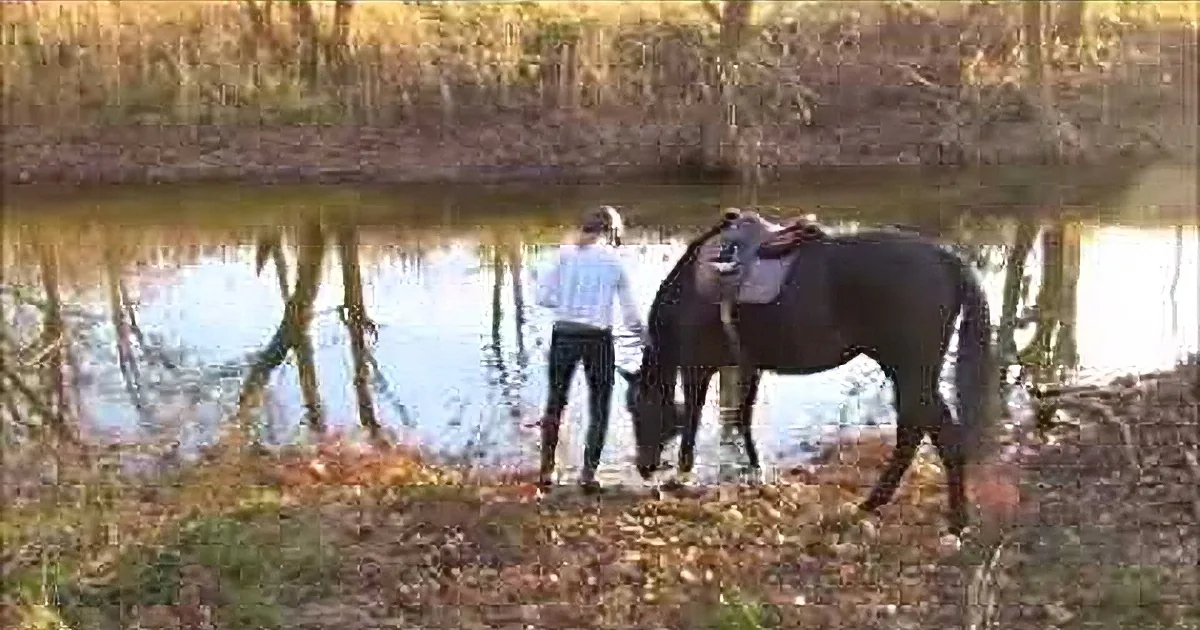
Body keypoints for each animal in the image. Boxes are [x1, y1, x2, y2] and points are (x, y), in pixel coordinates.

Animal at [618, 210, 999, 535]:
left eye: (639, 410)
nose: (644, 466)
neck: (688, 293)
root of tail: (948, 260)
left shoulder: (697, 368)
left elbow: (693, 420)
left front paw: (683, 474)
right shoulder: (748, 364)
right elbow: (743, 415)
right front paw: (755, 469)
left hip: (909, 371)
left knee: (929, 433)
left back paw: (939, 518)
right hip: (909, 372)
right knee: (921, 430)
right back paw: (894, 506)